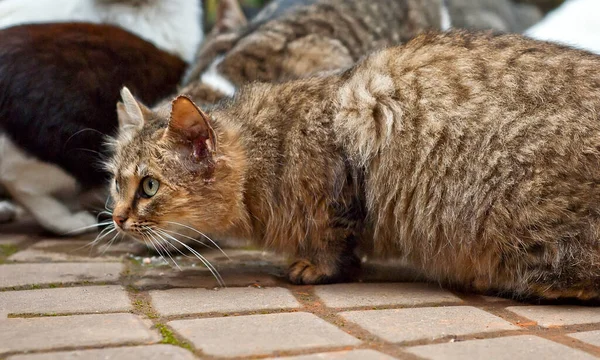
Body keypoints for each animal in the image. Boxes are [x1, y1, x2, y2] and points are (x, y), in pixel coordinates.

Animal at [108, 31, 600, 300]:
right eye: (117, 182)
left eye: (149, 187)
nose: (116, 217)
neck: (272, 145)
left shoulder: (339, 183)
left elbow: (333, 240)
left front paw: (317, 267)